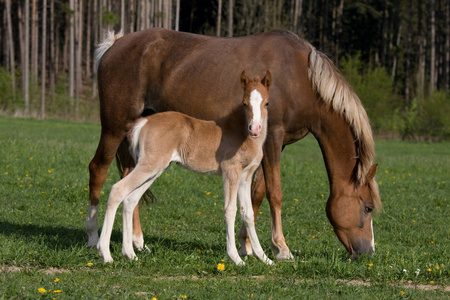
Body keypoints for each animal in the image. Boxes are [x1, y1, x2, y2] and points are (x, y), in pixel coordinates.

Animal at [97, 71, 274, 266]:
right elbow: (230, 210)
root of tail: (143, 122)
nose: (255, 129)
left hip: (154, 170)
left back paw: (130, 254)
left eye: (267, 102)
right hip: (149, 166)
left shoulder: (245, 177)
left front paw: (264, 258)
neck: (242, 133)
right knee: (117, 190)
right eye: (244, 103)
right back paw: (105, 253)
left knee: (130, 199)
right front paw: (235, 258)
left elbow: (248, 214)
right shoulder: (230, 172)